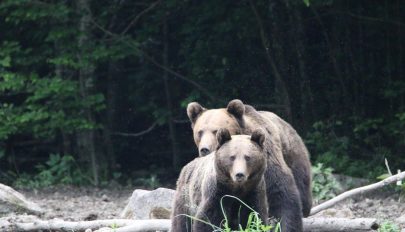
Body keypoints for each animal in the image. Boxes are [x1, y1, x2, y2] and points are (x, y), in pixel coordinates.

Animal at [186, 99, 310, 231]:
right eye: (200, 132)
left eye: (215, 131)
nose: (205, 149)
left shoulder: (266, 157)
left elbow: (281, 191)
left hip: (294, 155)